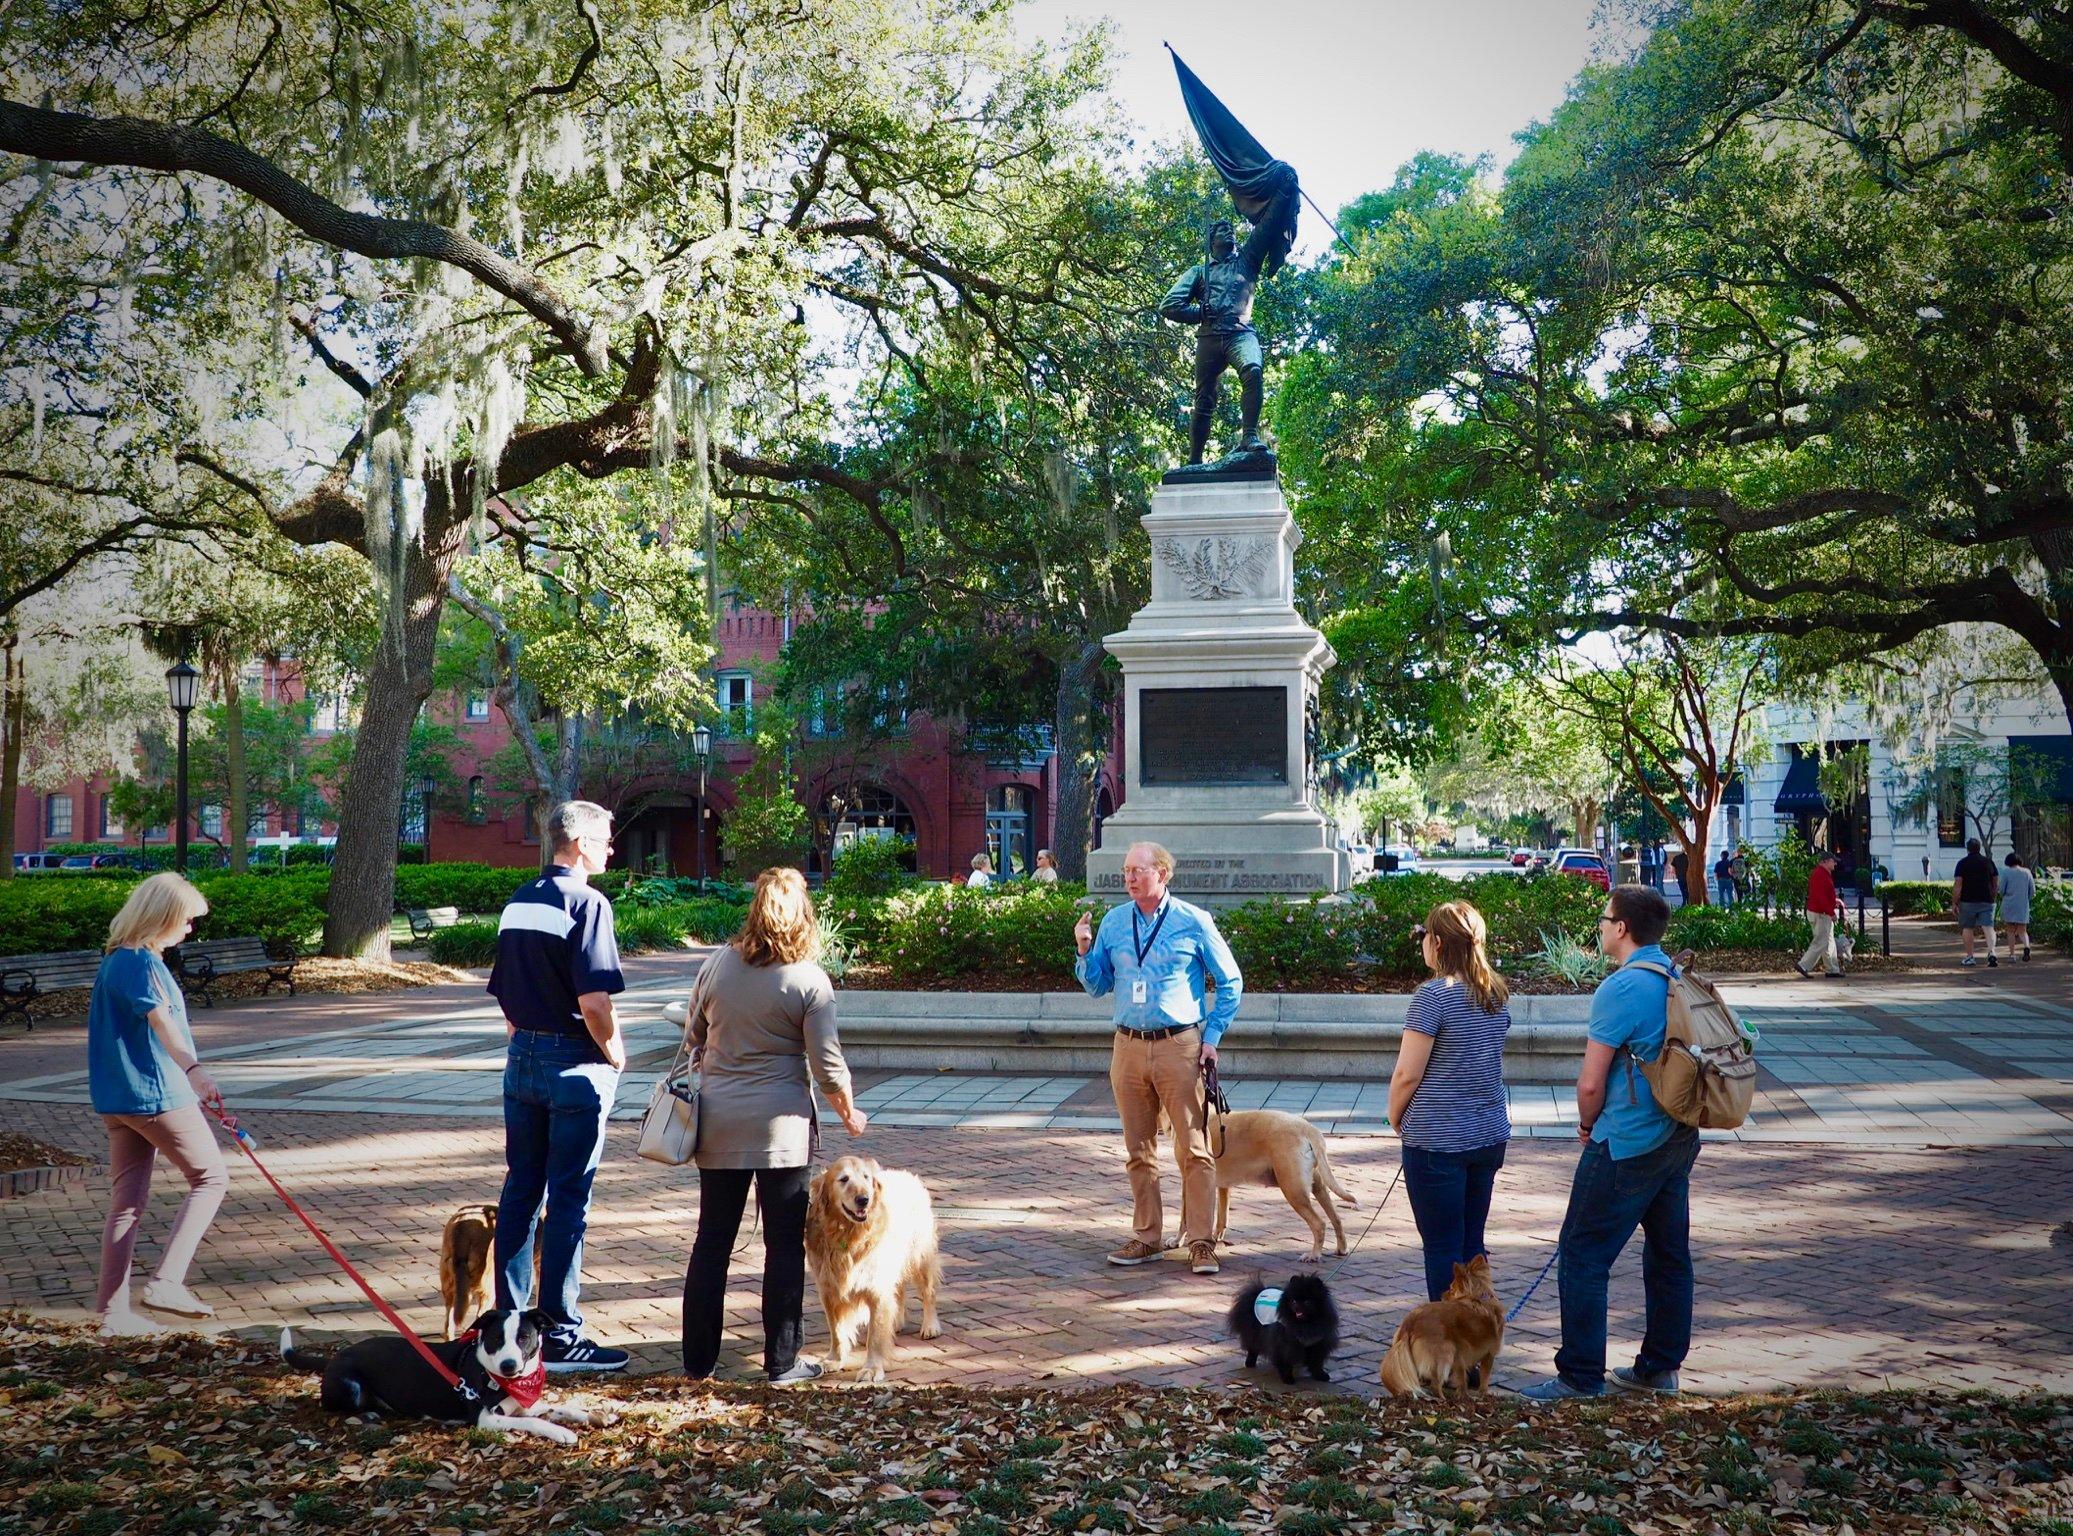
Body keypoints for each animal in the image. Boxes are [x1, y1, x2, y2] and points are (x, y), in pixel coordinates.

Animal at [279, 1310, 597, 1434]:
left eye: (523, 1338)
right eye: (495, 1338)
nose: (508, 1366)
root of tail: (334, 1357)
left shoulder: (521, 1405)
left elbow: (558, 1406)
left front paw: (593, 1415)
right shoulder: (486, 1419)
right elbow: (536, 1422)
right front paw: (562, 1433)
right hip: (349, 1387)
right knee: (332, 1405)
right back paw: (368, 1413)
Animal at [804, 1152, 945, 1384]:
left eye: (866, 1178)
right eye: (843, 1179)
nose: (864, 1199)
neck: (849, 1235)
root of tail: (906, 1174)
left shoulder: (876, 1289)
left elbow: (875, 1336)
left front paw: (871, 1368)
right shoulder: (828, 1289)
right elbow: (836, 1329)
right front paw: (834, 1359)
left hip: (920, 1257)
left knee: (928, 1292)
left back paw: (930, 1325)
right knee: (899, 1290)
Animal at [1376, 1252, 1509, 1392]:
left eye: (1451, 1288)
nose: (1441, 1295)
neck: (1479, 1300)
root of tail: (1410, 1321)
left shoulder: (1463, 1358)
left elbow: (1462, 1378)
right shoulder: (1488, 1354)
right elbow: (1483, 1381)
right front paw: (1481, 1394)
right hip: (1446, 1352)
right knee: (1435, 1384)